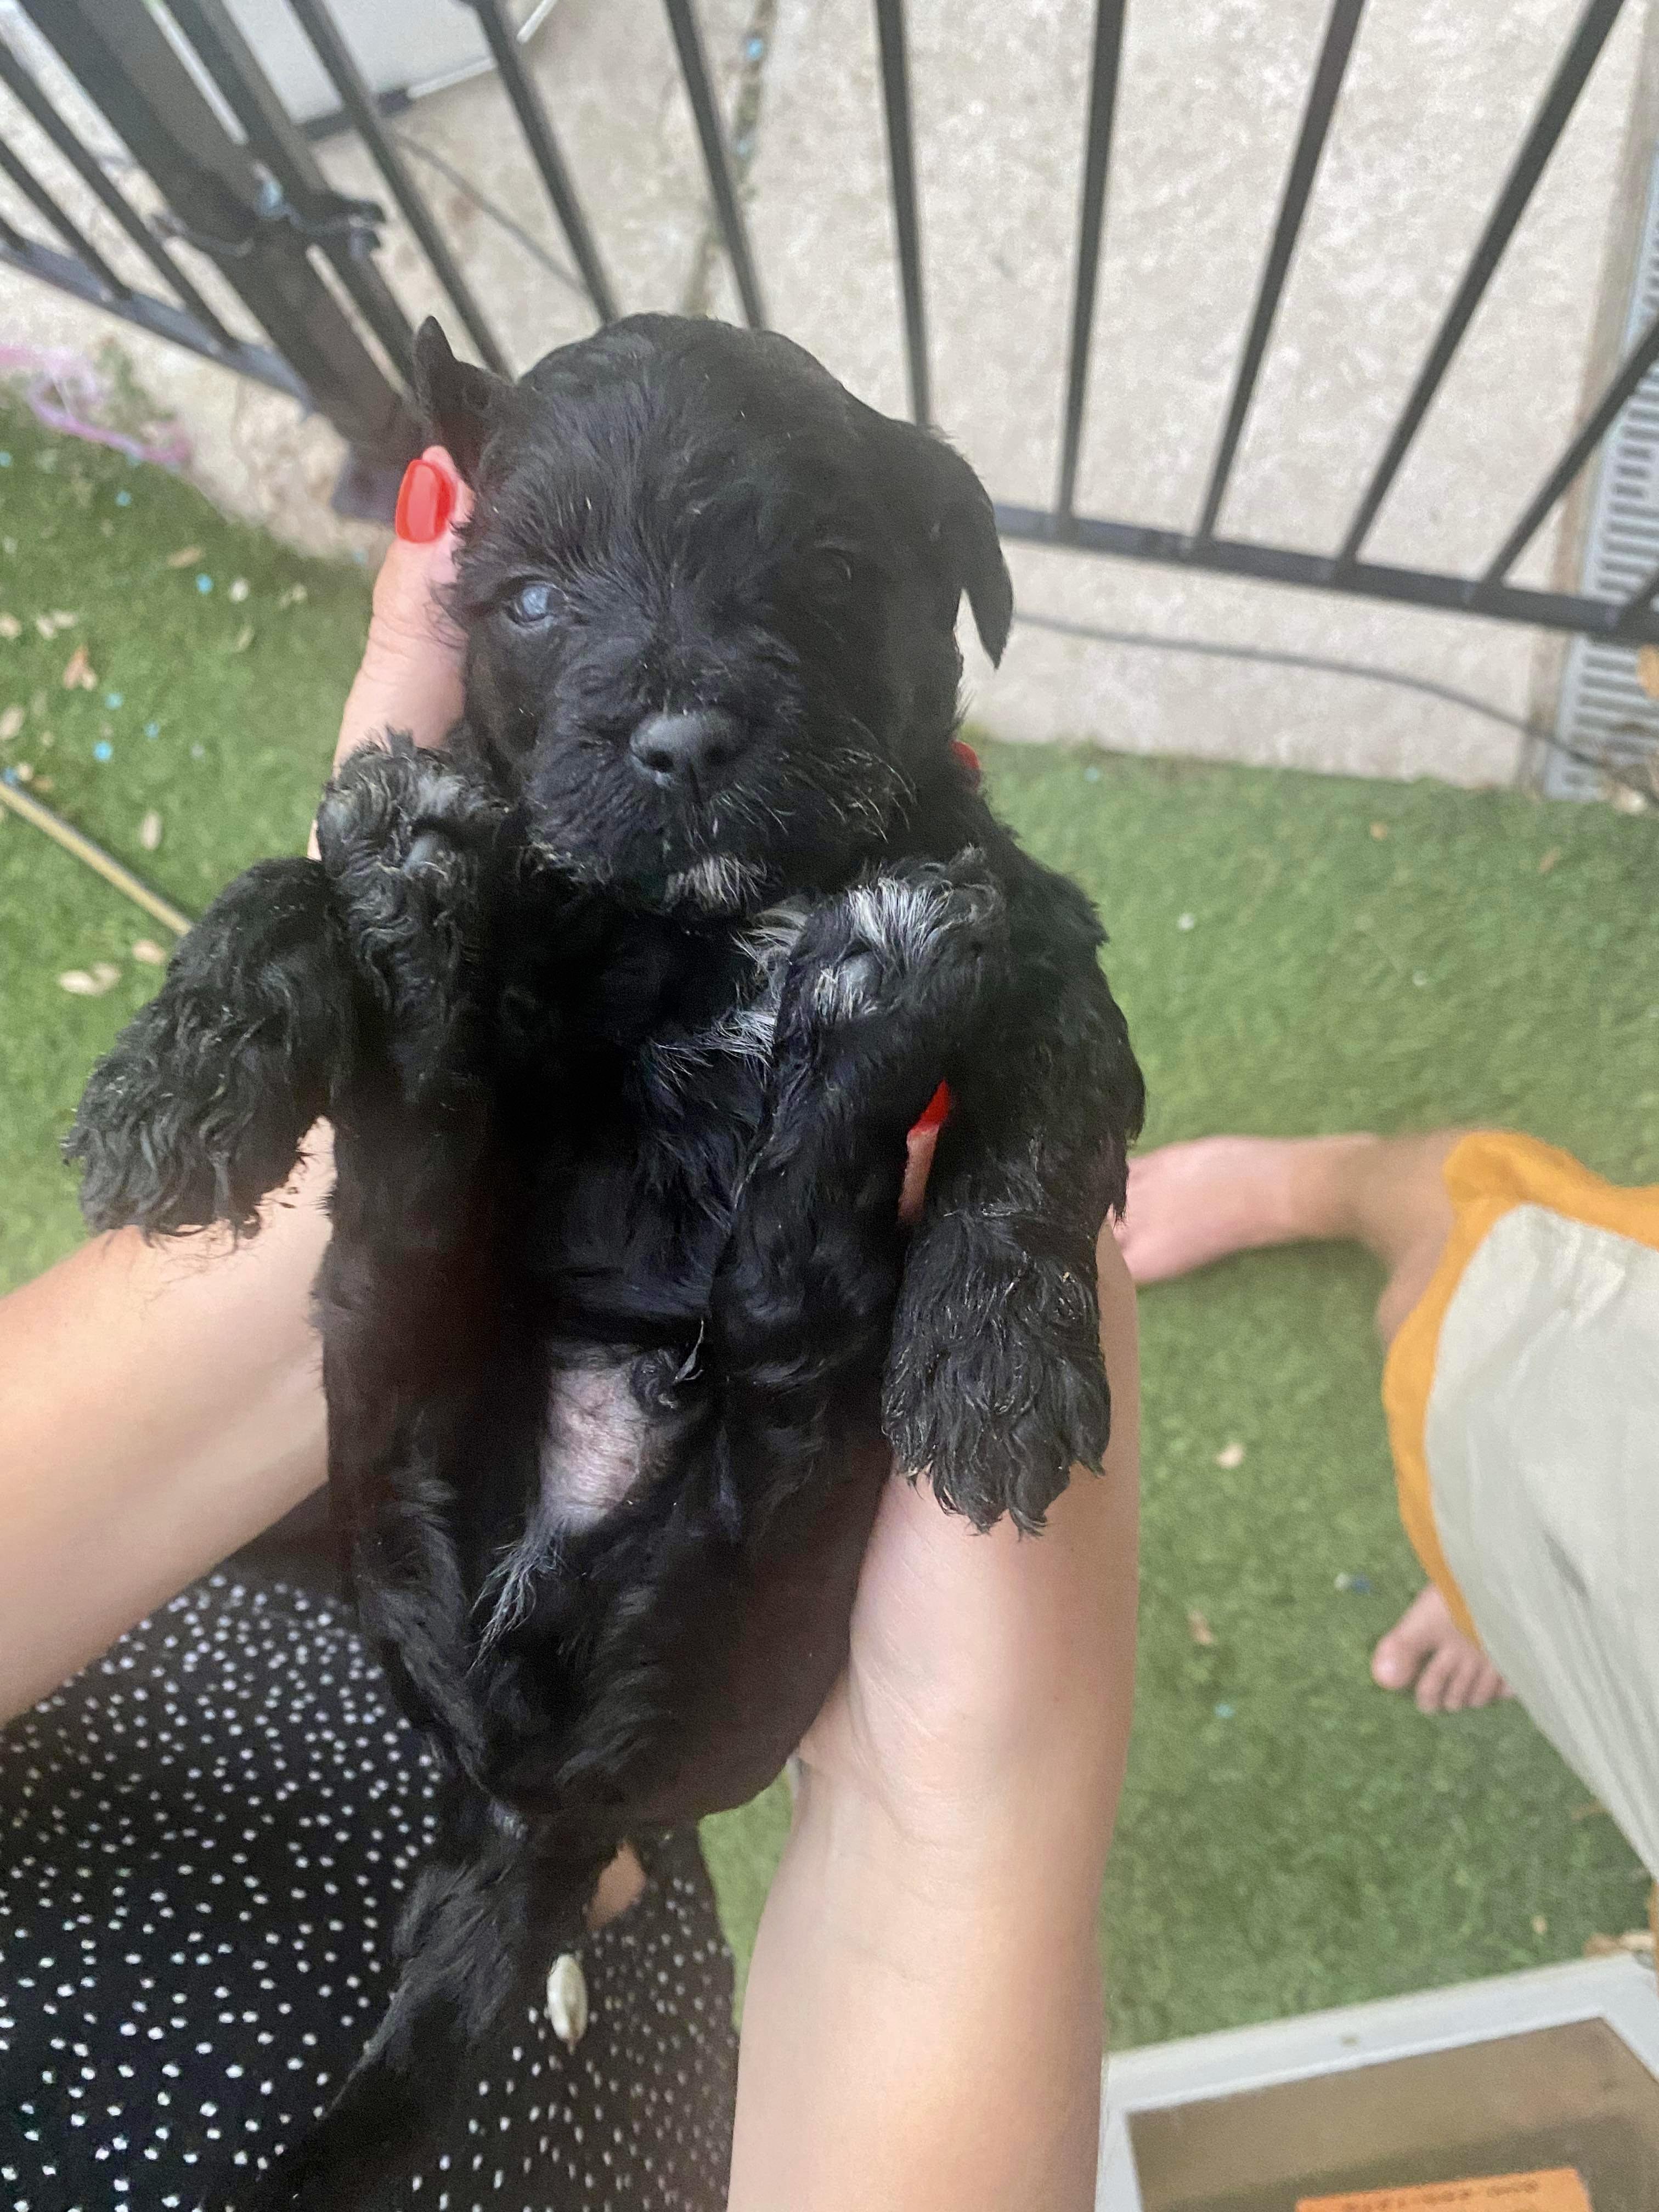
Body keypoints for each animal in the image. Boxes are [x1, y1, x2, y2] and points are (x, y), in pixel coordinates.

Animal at [68, 313, 1145, 2206]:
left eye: (838, 570)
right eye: (532, 599)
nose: (685, 737)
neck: (716, 917)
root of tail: (533, 1803)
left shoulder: (1035, 920)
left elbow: (1044, 1123)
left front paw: (999, 1365)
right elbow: (281, 884)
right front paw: (175, 1078)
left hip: (761, 1526)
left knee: (792, 1293)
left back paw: (874, 1000)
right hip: (401, 1408)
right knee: (424, 1153)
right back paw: (415, 894)